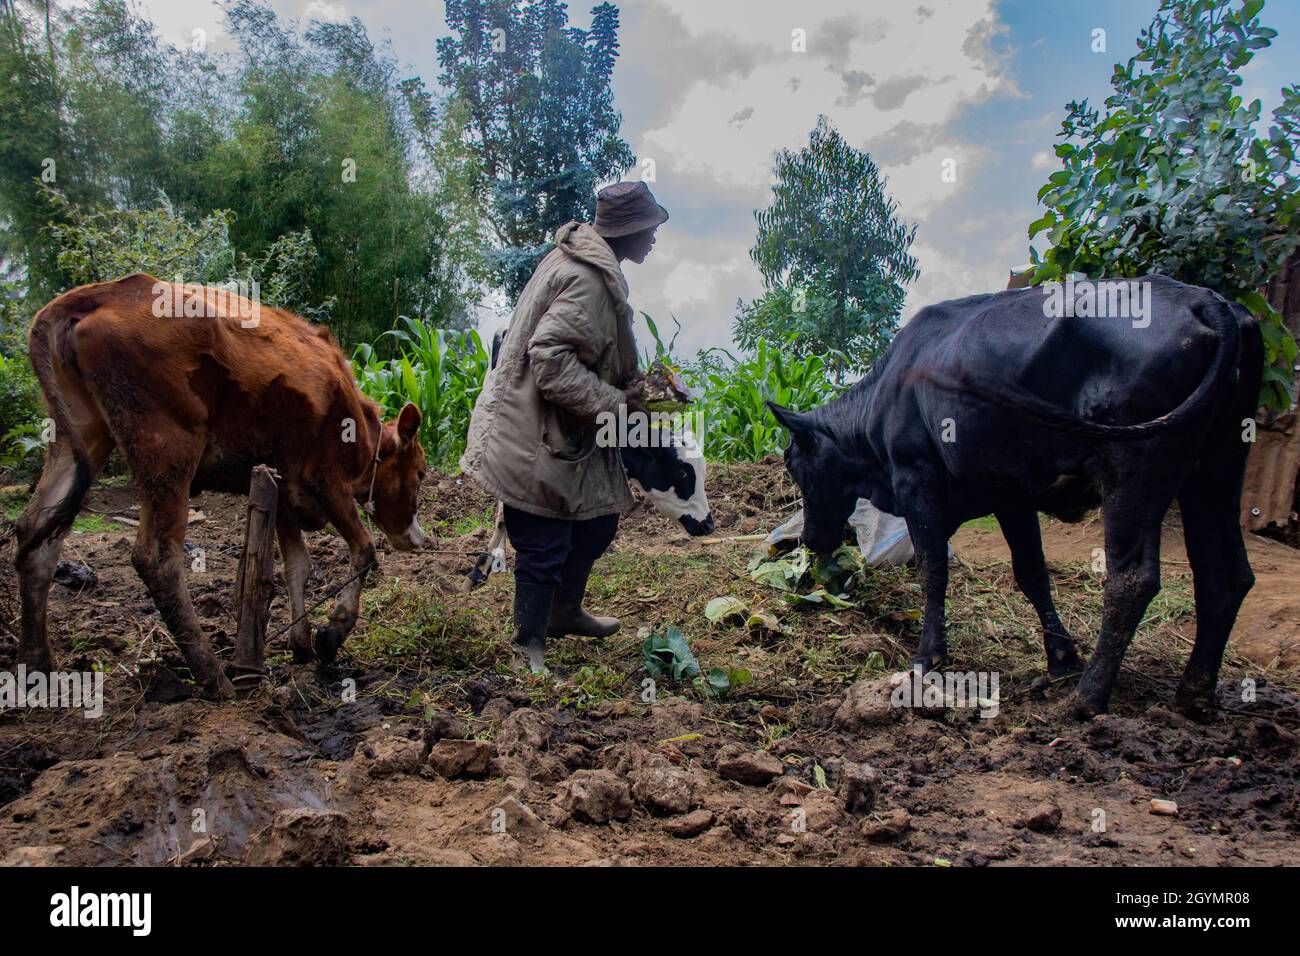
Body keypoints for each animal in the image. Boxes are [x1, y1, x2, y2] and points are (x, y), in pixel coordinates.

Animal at [13, 269, 426, 697]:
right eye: (420, 473)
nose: (419, 538)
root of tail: (104, 293)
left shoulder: (283, 486)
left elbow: (298, 566)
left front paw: (301, 644)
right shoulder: (325, 480)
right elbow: (363, 550)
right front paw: (332, 633)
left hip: (78, 433)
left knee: (36, 535)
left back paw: (37, 665)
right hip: (167, 445)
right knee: (156, 558)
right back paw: (212, 675)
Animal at [769, 277, 1258, 717]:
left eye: (792, 462)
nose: (809, 541)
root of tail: (1204, 299)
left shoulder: (916, 483)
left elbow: (933, 569)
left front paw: (929, 655)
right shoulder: (1010, 497)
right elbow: (1031, 574)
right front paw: (1061, 657)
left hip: (1137, 467)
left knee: (1133, 579)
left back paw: (1086, 698)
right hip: (1218, 466)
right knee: (1225, 574)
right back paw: (1193, 694)